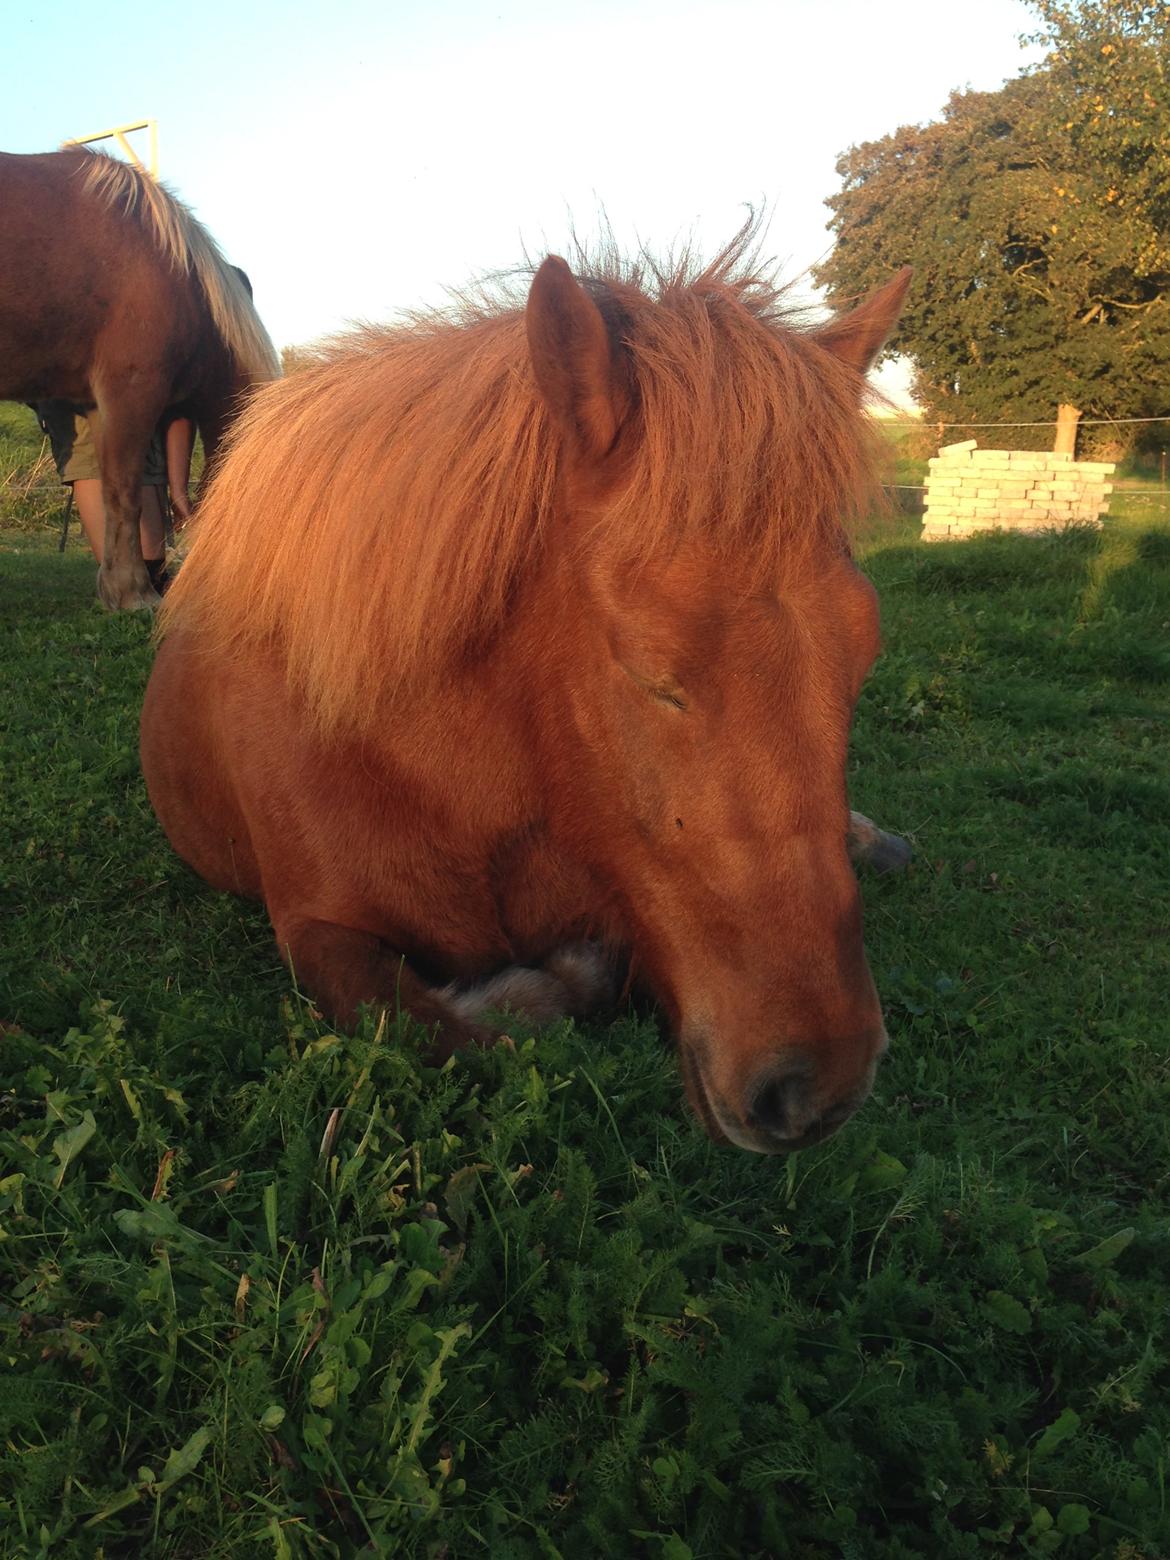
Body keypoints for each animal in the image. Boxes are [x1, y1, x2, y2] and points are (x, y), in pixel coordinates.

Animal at [141, 233, 917, 1160]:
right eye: (651, 672)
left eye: (864, 654)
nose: (818, 1086)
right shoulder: (314, 929)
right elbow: (421, 1021)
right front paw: (552, 986)